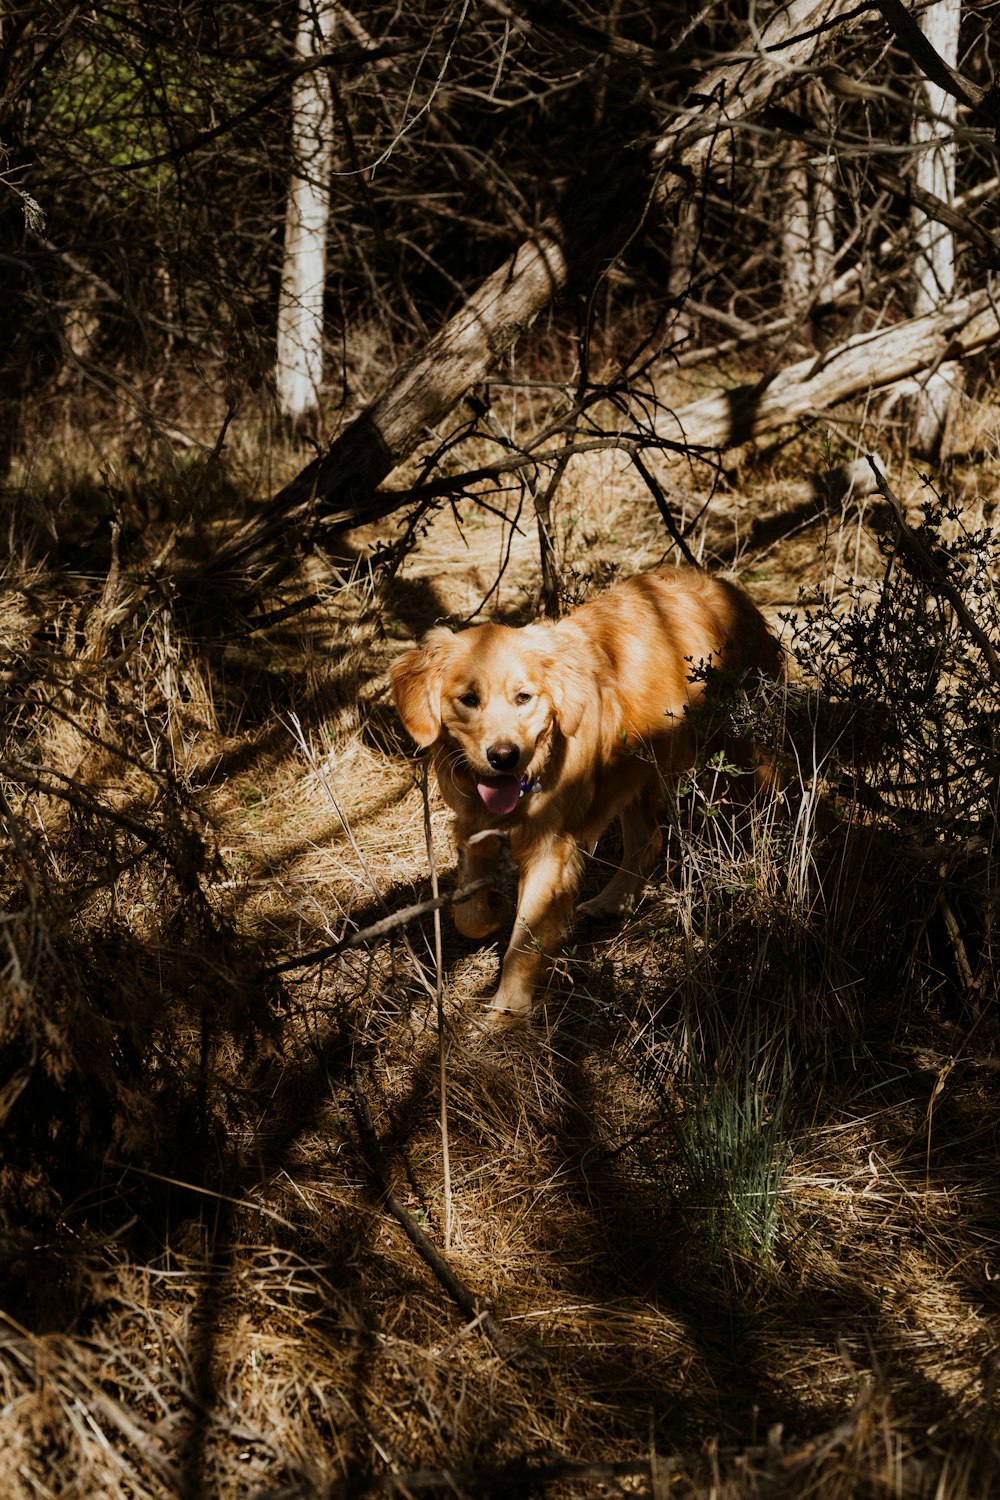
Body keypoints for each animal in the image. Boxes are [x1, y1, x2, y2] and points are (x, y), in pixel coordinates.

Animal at [389, 567, 779, 1026]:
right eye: (468, 699)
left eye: (524, 697)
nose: (503, 756)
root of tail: (724, 583)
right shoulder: (473, 826)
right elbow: (467, 912)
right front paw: (492, 910)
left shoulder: (550, 850)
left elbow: (523, 943)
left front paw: (508, 1010)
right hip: (635, 770)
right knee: (647, 839)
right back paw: (613, 900)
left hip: (740, 747)